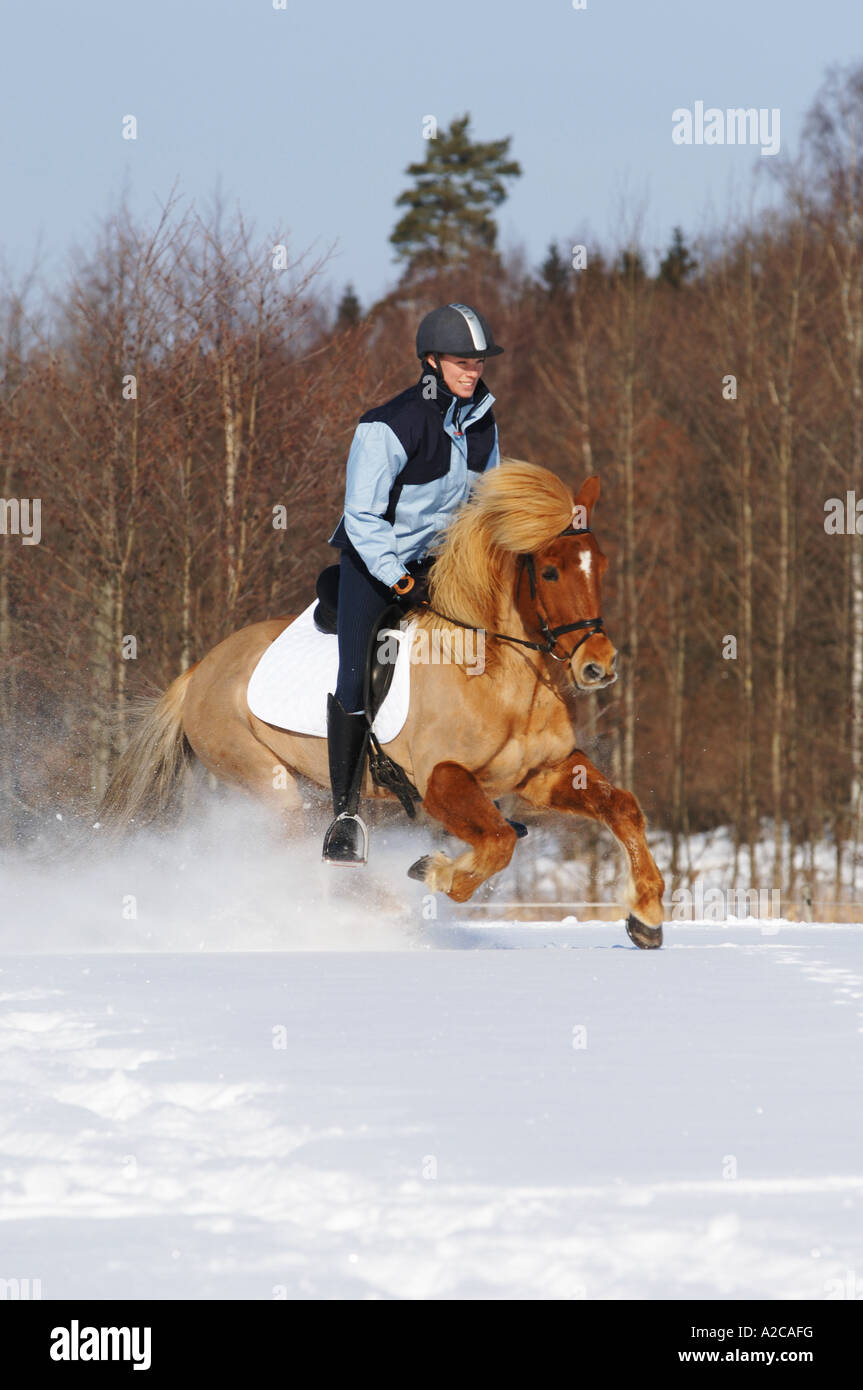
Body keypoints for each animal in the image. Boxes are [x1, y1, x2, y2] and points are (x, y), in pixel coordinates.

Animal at [99, 459, 666, 948]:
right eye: (549, 571)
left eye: (600, 564)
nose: (599, 665)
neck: (501, 676)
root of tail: (200, 670)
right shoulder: (442, 781)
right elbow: (499, 841)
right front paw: (438, 872)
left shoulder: (545, 773)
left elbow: (621, 808)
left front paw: (647, 915)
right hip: (267, 780)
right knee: (297, 854)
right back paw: (376, 909)